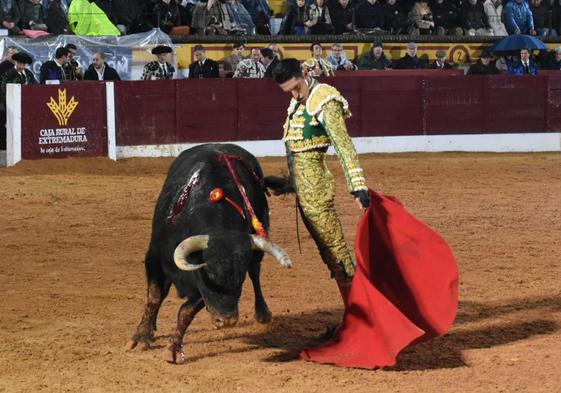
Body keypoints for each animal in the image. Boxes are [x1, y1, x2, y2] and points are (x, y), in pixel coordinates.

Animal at [127, 142, 294, 362]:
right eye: (211, 276)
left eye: (239, 279)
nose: (227, 320)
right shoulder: (154, 259)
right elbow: (154, 297)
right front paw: (141, 337)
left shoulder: (201, 288)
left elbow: (186, 311)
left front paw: (174, 348)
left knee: (256, 272)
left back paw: (263, 313)